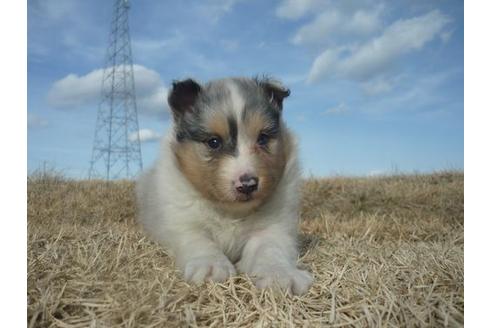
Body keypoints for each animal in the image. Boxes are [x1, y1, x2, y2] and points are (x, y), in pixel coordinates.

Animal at [135, 76, 312, 294]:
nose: (248, 185)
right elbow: (200, 241)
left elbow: (270, 250)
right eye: (213, 142)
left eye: (262, 138)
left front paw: (280, 276)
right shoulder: (182, 223)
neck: (231, 211)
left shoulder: (273, 228)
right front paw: (210, 267)